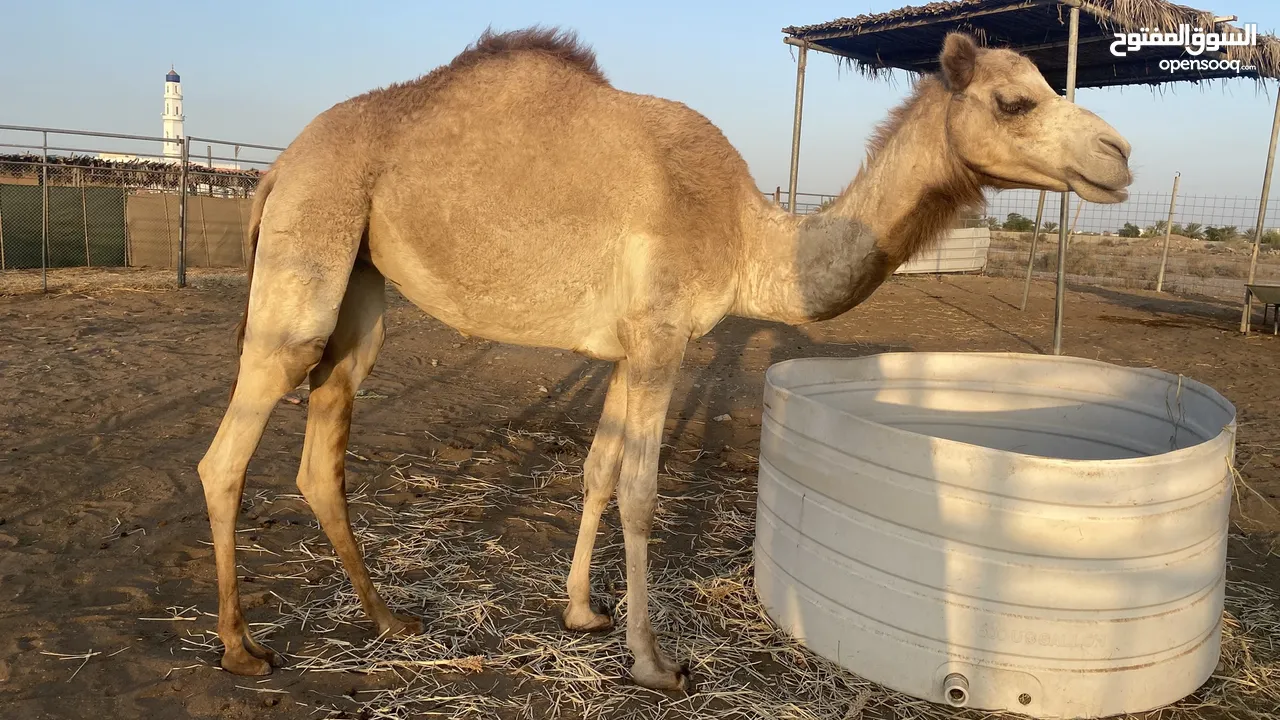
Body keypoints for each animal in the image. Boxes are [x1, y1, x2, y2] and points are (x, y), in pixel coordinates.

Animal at [197, 26, 1131, 691]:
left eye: (1050, 86)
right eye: (1014, 102)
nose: (1118, 156)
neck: (749, 238)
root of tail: (277, 166)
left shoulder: (625, 347)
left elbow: (598, 471)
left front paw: (582, 612)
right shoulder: (661, 336)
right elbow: (643, 493)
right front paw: (655, 663)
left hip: (361, 288)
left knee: (323, 445)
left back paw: (391, 622)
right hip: (307, 253)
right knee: (227, 455)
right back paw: (243, 650)